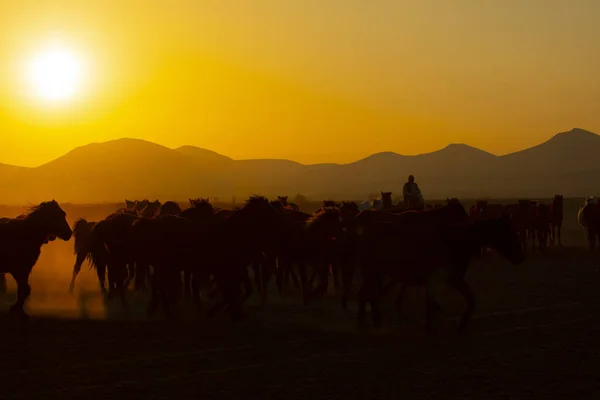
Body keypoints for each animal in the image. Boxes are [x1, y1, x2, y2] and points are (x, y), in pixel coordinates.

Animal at [356, 214, 524, 332]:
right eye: (508, 233)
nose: (520, 257)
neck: (455, 241)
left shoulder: (443, 279)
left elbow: (438, 301)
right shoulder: (451, 278)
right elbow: (468, 299)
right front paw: (459, 324)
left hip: (374, 273)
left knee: (367, 294)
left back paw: (371, 321)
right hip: (373, 272)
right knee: (365, 294)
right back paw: (366, 321)